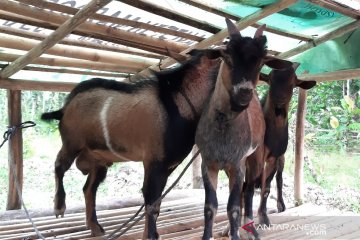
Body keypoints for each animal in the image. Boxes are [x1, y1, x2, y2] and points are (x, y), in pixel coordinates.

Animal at [42, 48, 222, 238]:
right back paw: (59, 206)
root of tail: (64, 108)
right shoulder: (154, 160)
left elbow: (156, 202)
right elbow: (150, 201)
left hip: (98, 159)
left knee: (89, 188)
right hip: (72, 143)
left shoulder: (167, 166)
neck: (178, 104)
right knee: (59, 165)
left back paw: (95, 226)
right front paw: (150, 236)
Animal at [194, 18, 292, 240]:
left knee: (246, 192)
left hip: (254, 157)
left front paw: (237, 234)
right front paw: (209, 235)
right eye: (226, 56)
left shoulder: (237, 163)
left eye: (261, 62)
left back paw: (250, 229)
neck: (223, 128)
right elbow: (210, 206)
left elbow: (233, 207)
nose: (244, 92)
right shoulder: (208, 162)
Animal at [243, 62, 316, 230]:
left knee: (279, 179)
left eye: (293, 82)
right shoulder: (252, 157)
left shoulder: (274, 158)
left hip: (281, 159)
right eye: (270, 79)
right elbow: (246, 186)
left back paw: (280, 205)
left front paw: (263, 217)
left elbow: (267, 188)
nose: (279, 98)